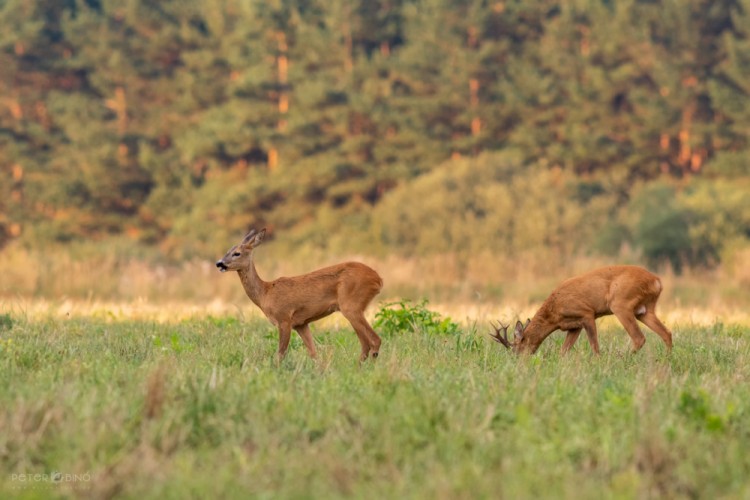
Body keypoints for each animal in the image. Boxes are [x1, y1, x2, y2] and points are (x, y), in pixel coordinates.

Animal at [216, 229, 382, 362]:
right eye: (227, 250)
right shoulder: (301, 324)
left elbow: (280, 354)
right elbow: (313, 353)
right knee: (368, 343)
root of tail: (378, 279)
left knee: (373, 341)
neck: (265, 293)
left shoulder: (284, 318)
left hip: (351, 305)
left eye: (237, 253)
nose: (219, 263)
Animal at [494, 266, 676, 356]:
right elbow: (563, 351)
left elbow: (595, 346)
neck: (554, 313)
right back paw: (666, 361)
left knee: (639, 338)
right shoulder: (574, 326)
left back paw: (622, 358)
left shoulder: (587, 313)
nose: (517, 361)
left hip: (620, 304)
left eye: (515, 348)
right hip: (644, 310)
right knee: (666, 333)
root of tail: (657, 281)